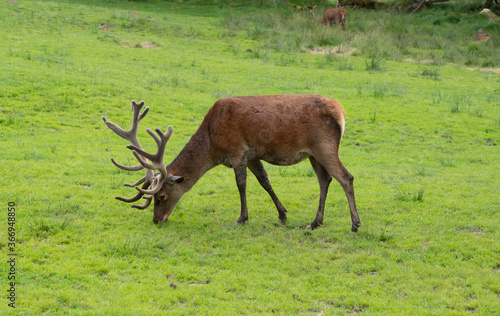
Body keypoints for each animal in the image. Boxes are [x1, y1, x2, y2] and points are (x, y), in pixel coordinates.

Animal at [102, 95, 360, 231]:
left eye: (161, 196)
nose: (157, 220)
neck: (213, 143)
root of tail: (341, 112)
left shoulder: (237, 151)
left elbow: (241, 185)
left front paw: (241, 218)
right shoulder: (254, 155)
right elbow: (265, 182)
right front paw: (282, 214)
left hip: (324, 146)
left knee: (346, 177)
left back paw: (355, 224)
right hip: (313, 154)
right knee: (325, 180)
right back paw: (315, 222)